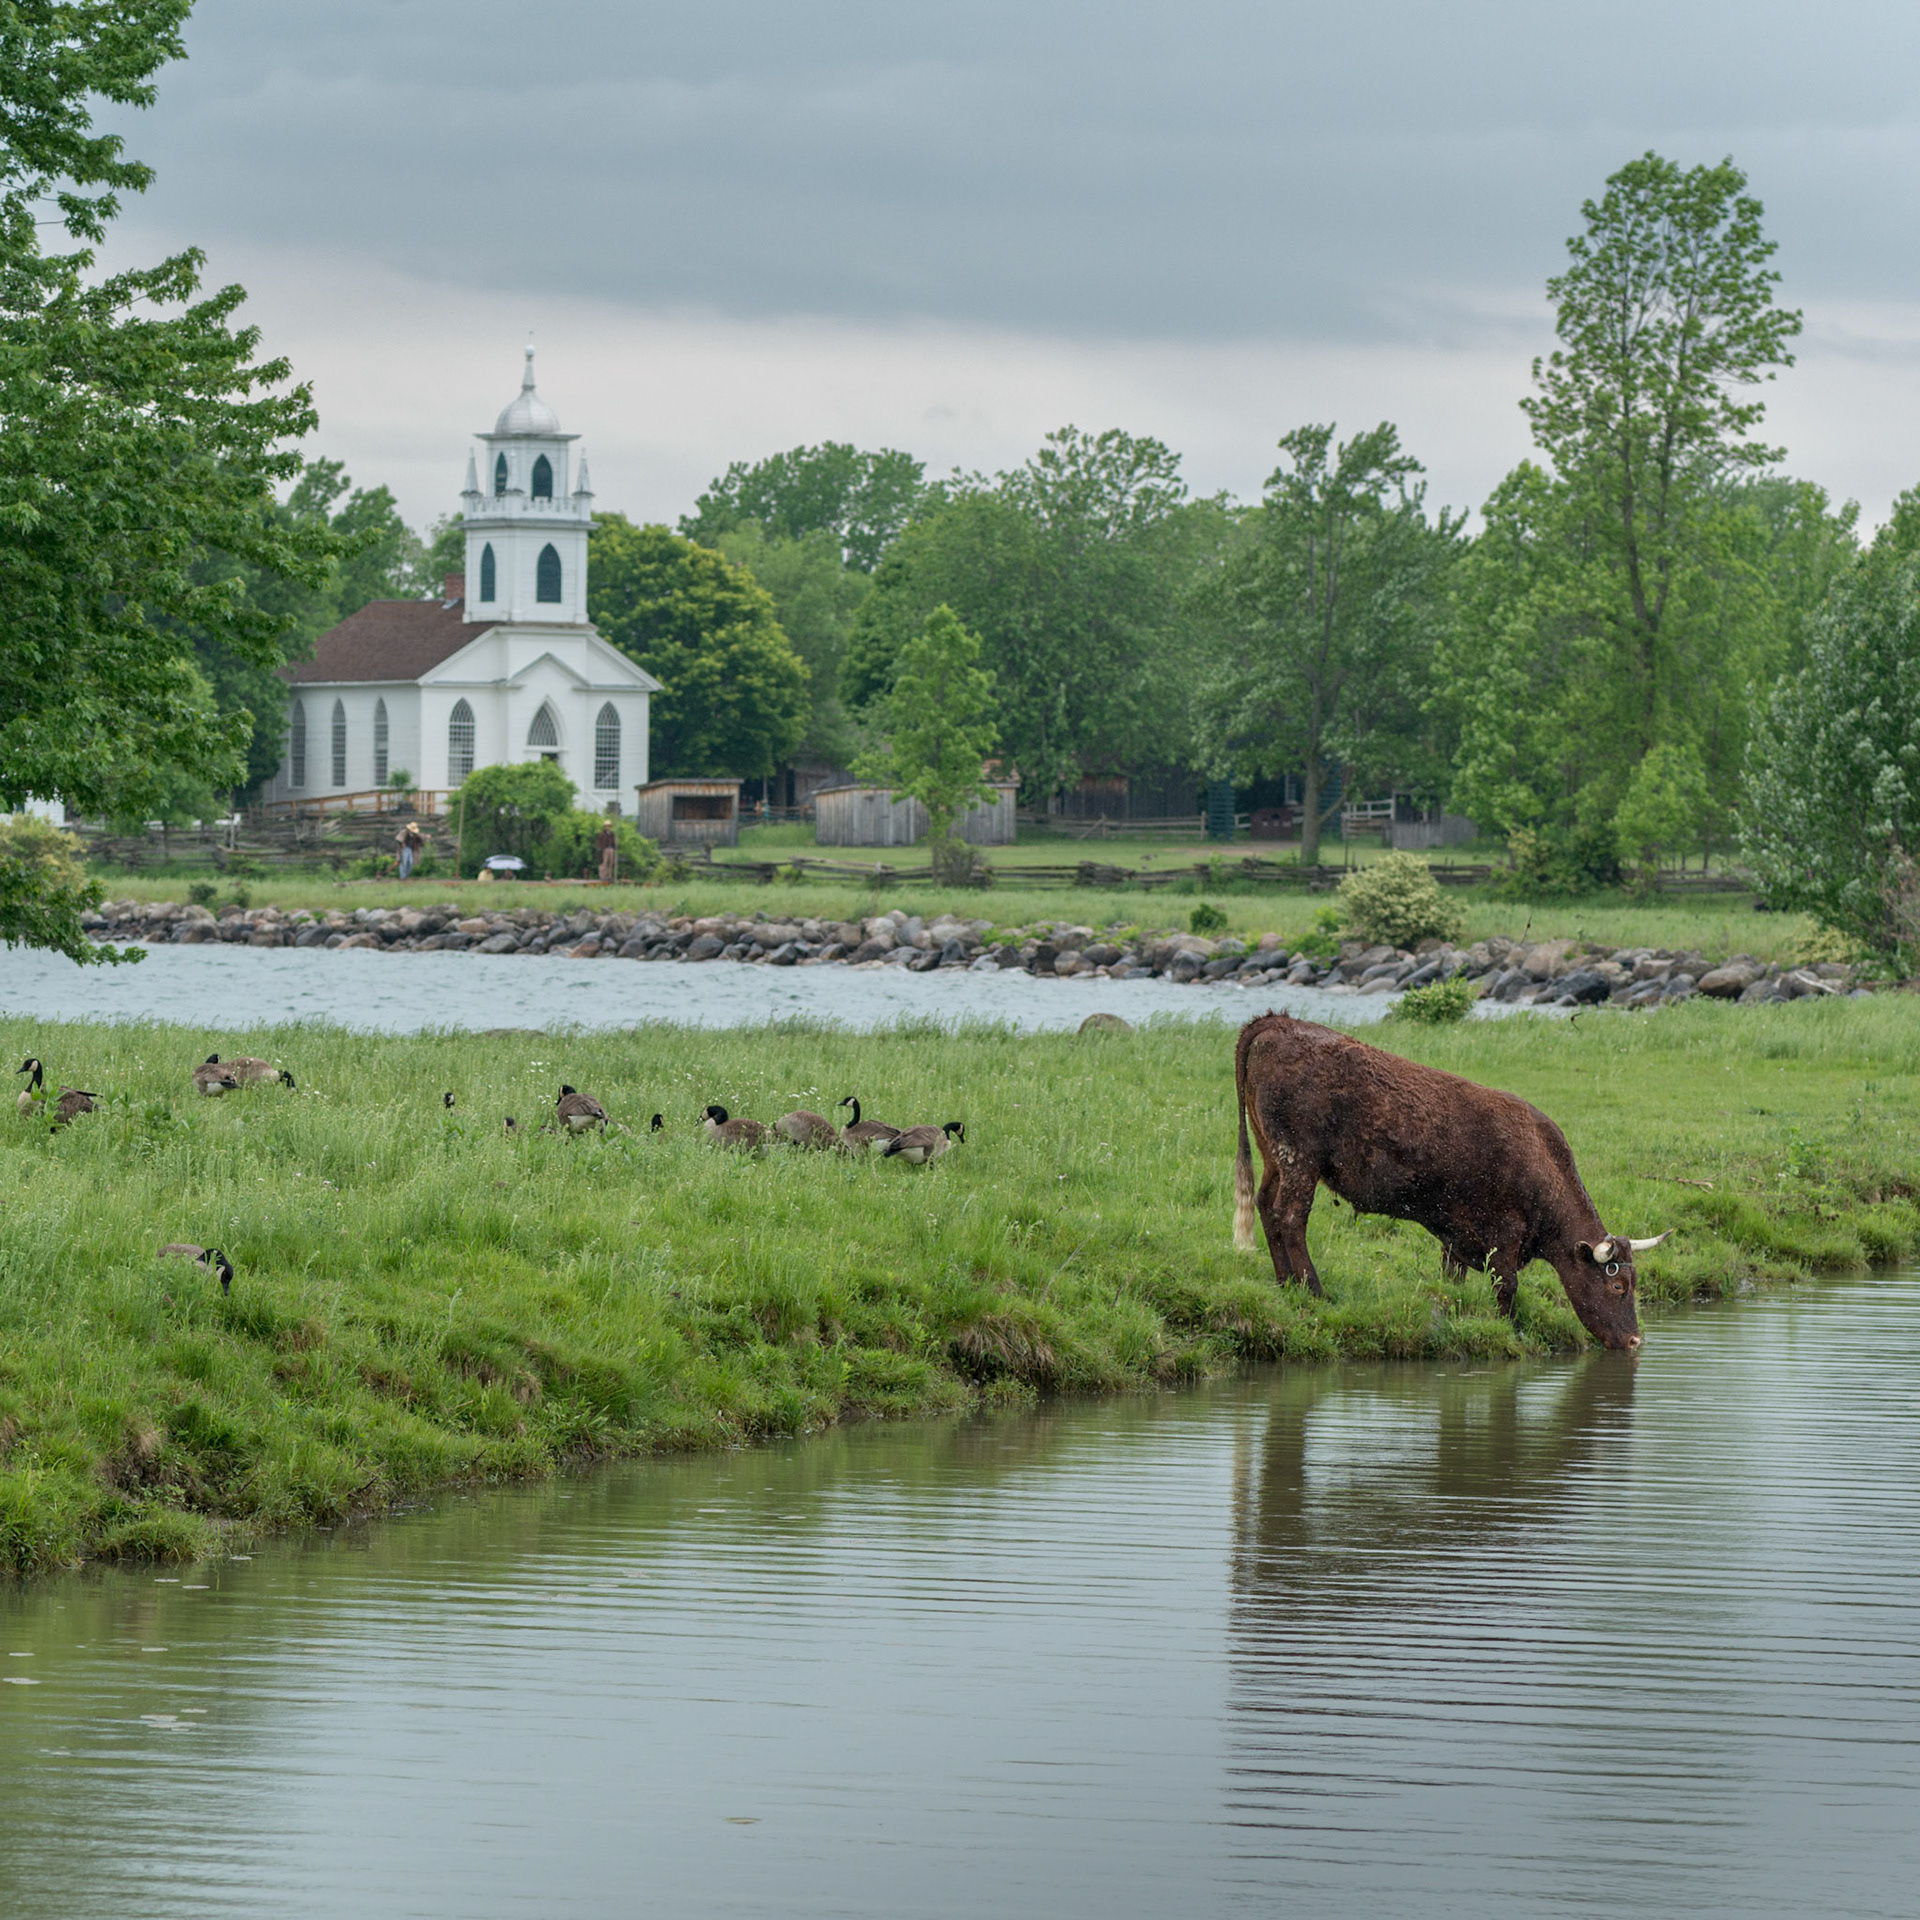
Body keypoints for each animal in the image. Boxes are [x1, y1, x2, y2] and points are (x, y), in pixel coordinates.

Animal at [1231, 1012, 1665, 1351]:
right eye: (1618, 1286)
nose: (1634, 1341)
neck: (1540, 1158)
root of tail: (1276, 1022)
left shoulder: (1456, 1234)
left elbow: (1452, 1281)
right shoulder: (1503, 1234)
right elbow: (1507, 1288)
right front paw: (1513, 1332)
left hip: (1274, 1156)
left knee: (1266, 1205)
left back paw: (1285, 1283)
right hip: (1300, 1160)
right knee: (1291, 1217)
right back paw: (1315, 1291)